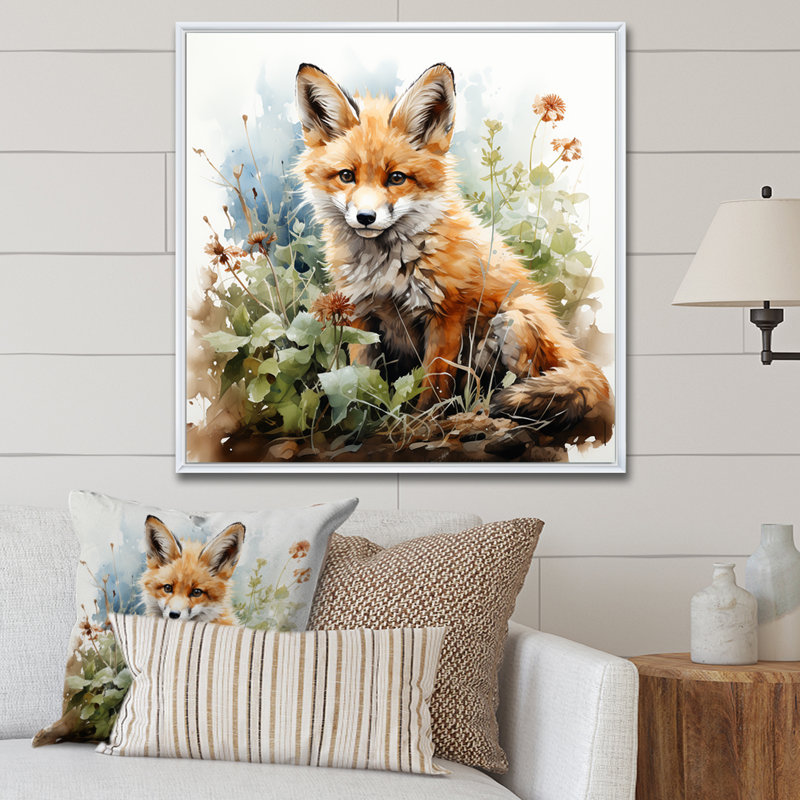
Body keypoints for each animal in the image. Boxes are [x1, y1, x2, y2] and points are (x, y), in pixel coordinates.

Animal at [295, 62, 613, 437]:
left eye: (397, 178)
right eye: (346, 176)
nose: (365, 217)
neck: (388, 270)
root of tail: (570, 348)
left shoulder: (446, 313)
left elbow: (434, 382)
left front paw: (421, 425)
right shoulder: (360, 313)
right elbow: (360, 377)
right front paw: (359, 419)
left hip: (511, 322)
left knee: (524, 381)